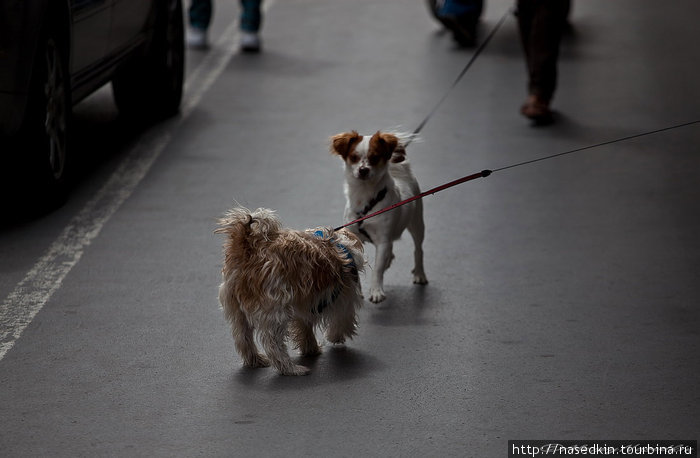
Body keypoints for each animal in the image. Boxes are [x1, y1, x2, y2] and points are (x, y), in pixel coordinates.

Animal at [216, 208, 364, 376]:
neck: (340, 244)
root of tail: (248, 248)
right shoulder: (345, 298)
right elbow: (342, 320)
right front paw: (335, 337)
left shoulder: (305, 303)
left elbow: (305, 325)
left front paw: (310, 348)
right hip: (276, 311)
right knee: (273, 345)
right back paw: (291, 368)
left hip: (237, 310)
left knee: (243, 338)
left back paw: (255, 360)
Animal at [332, 131, 430, 302]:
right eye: (354, 157)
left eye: (375, 157)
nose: (363, 170)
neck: (365, 198)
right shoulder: (354, 237)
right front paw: (357, 290)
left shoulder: (383, 239)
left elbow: (377, 268)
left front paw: (376, 290)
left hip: (417, 224)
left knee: (418, 250)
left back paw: (419, 274)